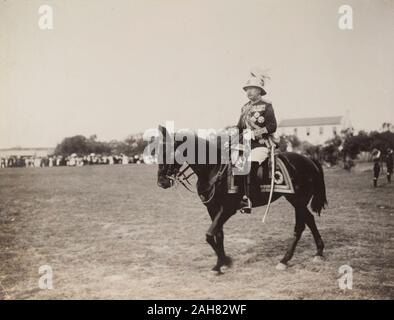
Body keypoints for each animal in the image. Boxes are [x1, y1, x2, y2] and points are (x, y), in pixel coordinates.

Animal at [157, 125, 326, 272]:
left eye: (168, 153)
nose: (161, 182)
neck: (213, 169)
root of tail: (309, 160)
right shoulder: (212, 208)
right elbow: (218, 234)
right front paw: (221, 263)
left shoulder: (227, 209)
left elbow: (209, 235)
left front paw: (224, 261)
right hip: (297, 202)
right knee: (310, 220)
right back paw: (318, 252)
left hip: (297, 200)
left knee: (300, 227)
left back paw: (285, 260)